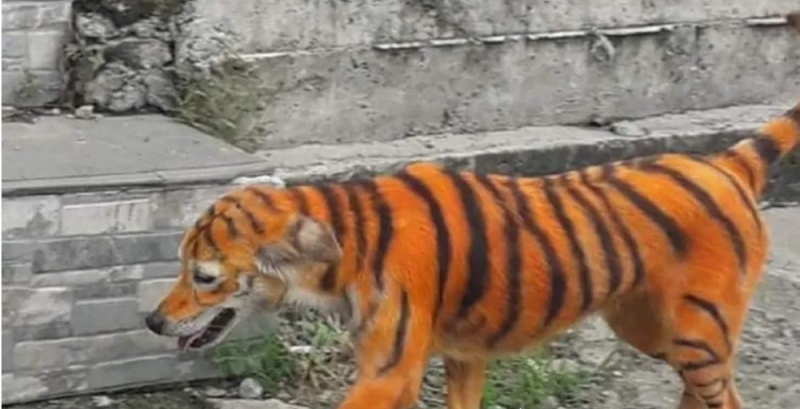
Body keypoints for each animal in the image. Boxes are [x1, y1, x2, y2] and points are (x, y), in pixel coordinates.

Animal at [144, 13, 800, 409]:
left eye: (204, 277)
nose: (151, 321)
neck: (344, 244)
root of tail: (728, 161)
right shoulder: (458, 356)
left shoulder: (390, 368)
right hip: (647, 325)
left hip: (697, 333)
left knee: (726, 397)